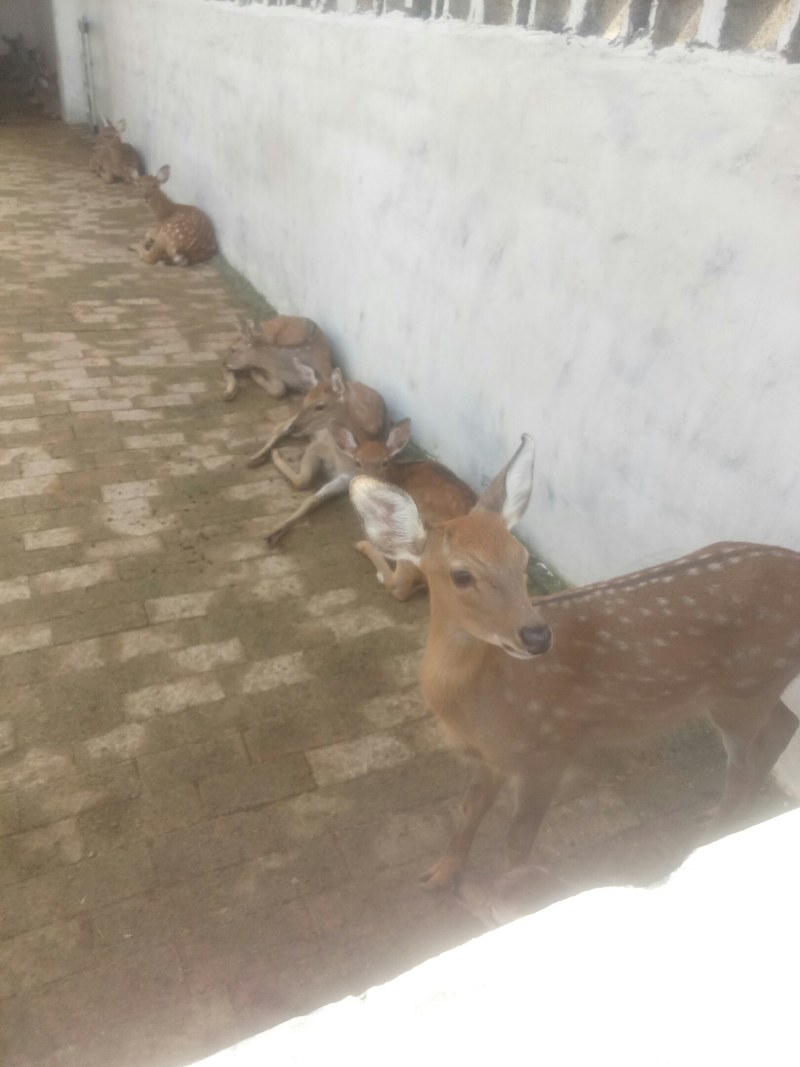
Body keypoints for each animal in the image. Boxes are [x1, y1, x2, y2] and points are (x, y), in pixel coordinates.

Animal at [350, 434, 800, 890]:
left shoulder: (550, 749)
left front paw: (513, 892)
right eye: (461, 575)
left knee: (743, 767)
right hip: (754, 684)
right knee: (783, 727)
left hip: (743, 690)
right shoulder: (494, 755)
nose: (537, 636)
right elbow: (470, 808)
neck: (479, 704)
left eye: (522, 558)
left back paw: (711, 832)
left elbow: (517, 841)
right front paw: (439, 874)